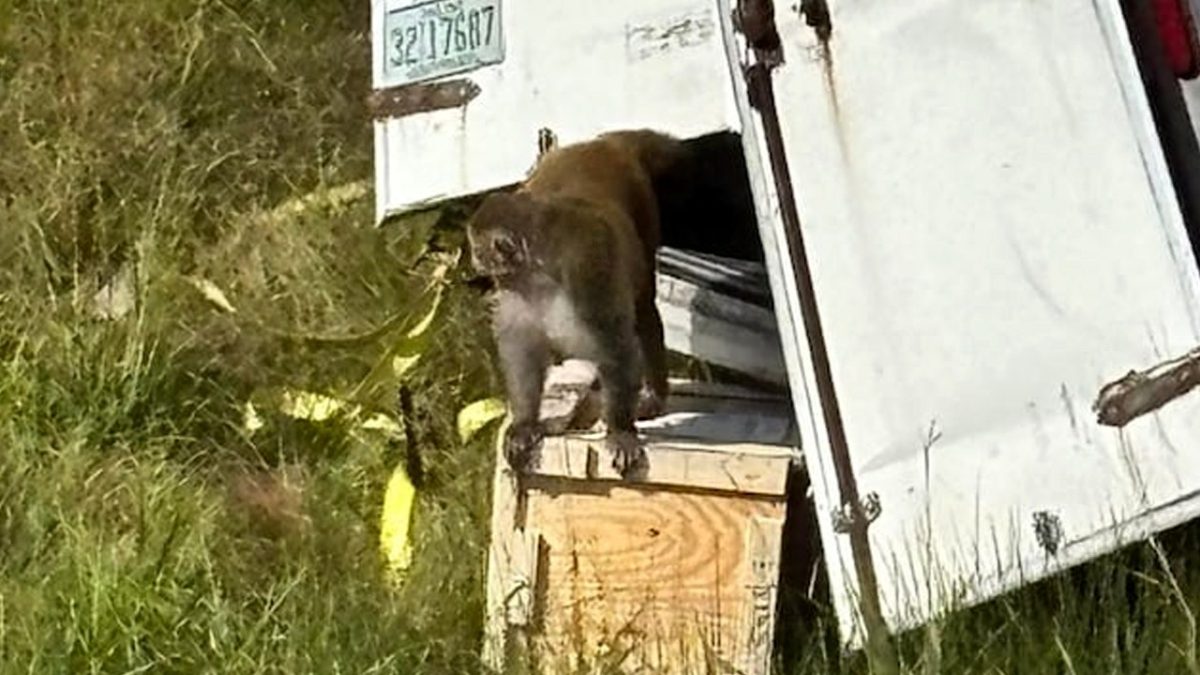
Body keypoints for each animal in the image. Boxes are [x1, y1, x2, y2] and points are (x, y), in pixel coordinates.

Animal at [466, 129, 685, 478]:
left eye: (477, 249)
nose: (474, 261)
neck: (540, 268)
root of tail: (601, 144)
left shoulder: (586, 270)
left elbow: (615, 344)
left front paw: (620, 430)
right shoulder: (516, 290)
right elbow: (523, 350)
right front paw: (525, 423)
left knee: (643, 309)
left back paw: (654, 393)